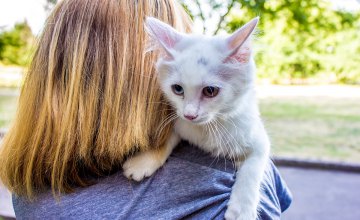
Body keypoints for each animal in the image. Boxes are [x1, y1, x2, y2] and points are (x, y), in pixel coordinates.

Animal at [124, 17, 270, 220]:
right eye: (177, 89)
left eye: (210, 91)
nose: (189, 115)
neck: (207, 127)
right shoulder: (179, 122)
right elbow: (166, 139)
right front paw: (144, 160)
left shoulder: (256, 137)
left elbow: (252, 168)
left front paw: (242, 209)